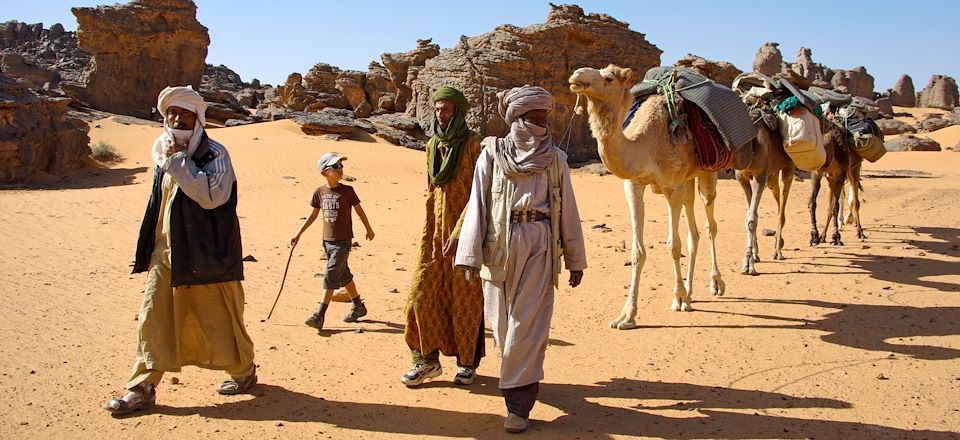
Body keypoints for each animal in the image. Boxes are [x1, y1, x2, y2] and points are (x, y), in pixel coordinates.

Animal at [568, 63, 724, 328]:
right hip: (688, 180)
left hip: (708, 172)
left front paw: (678, 298)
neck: (645, 146)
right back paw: (691, 293)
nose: (576, 76)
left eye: (608, 78)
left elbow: (673, 245)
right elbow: (637, 251)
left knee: (710, 223)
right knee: (694, 232)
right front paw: (626, 315)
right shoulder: (633, 185)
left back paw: (714, 284)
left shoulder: (672, 188)